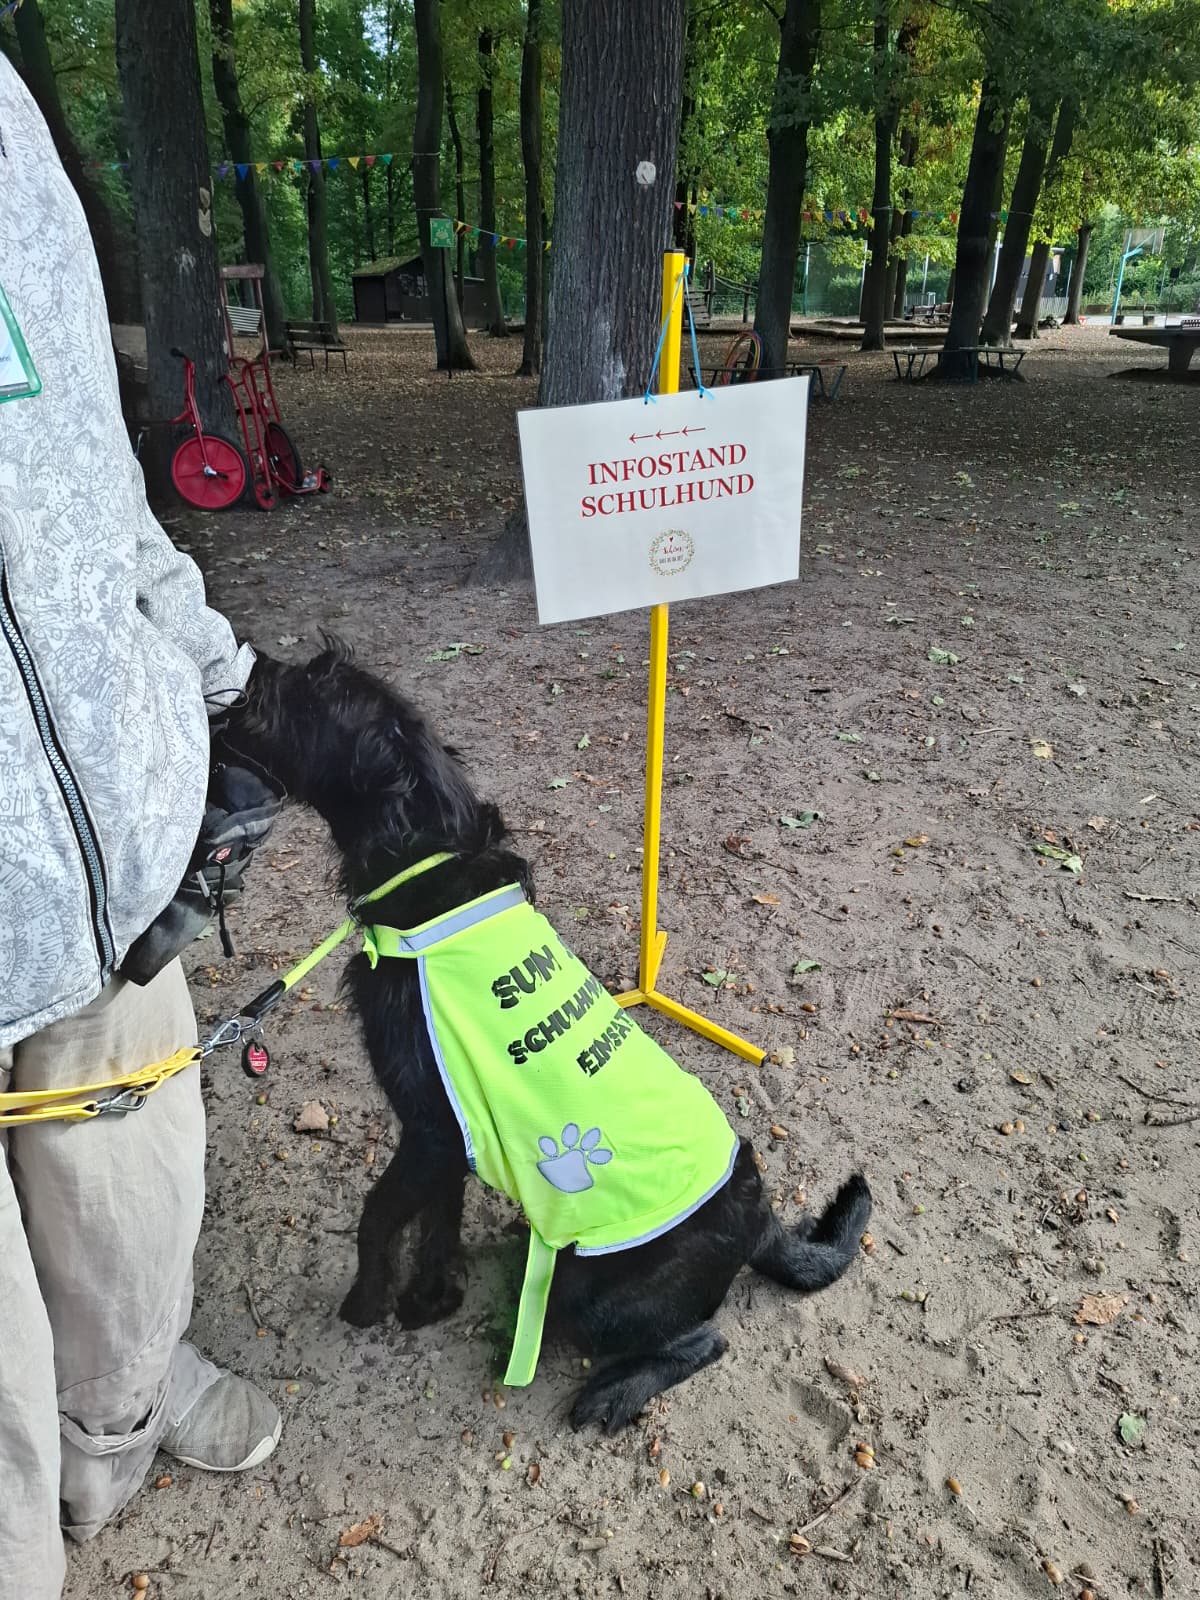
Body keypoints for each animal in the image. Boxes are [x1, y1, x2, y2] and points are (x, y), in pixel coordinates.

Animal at [231, 641, 871, 1430]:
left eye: (314, 689)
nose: (250, 667)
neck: (427, 861)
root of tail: (764, 1220)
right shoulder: (455, 1127)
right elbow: (437, 1219)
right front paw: (430, 1300)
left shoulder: (428, 1127)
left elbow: (378, 1214)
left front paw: (366, 1302)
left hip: (585, 1292)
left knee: (706, 1341)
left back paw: (612, 1394)